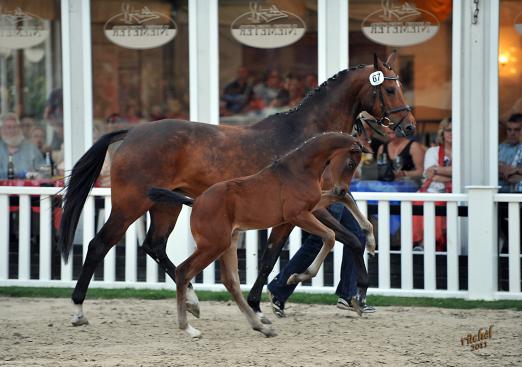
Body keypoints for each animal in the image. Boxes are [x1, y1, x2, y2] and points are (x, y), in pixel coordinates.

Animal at [146, 132, 366, 340]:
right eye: (350, 163)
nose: (342, 187)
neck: (299, 170)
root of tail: (196, 201)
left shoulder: (312, 207)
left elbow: (340, 202)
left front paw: (367, 232)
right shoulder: (298, 215)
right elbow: (330, 236)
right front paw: (297, 276)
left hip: (228, 242)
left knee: (231, 282)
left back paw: (261, 327)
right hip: (213, 245)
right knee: (183, 271)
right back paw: (189, 328)